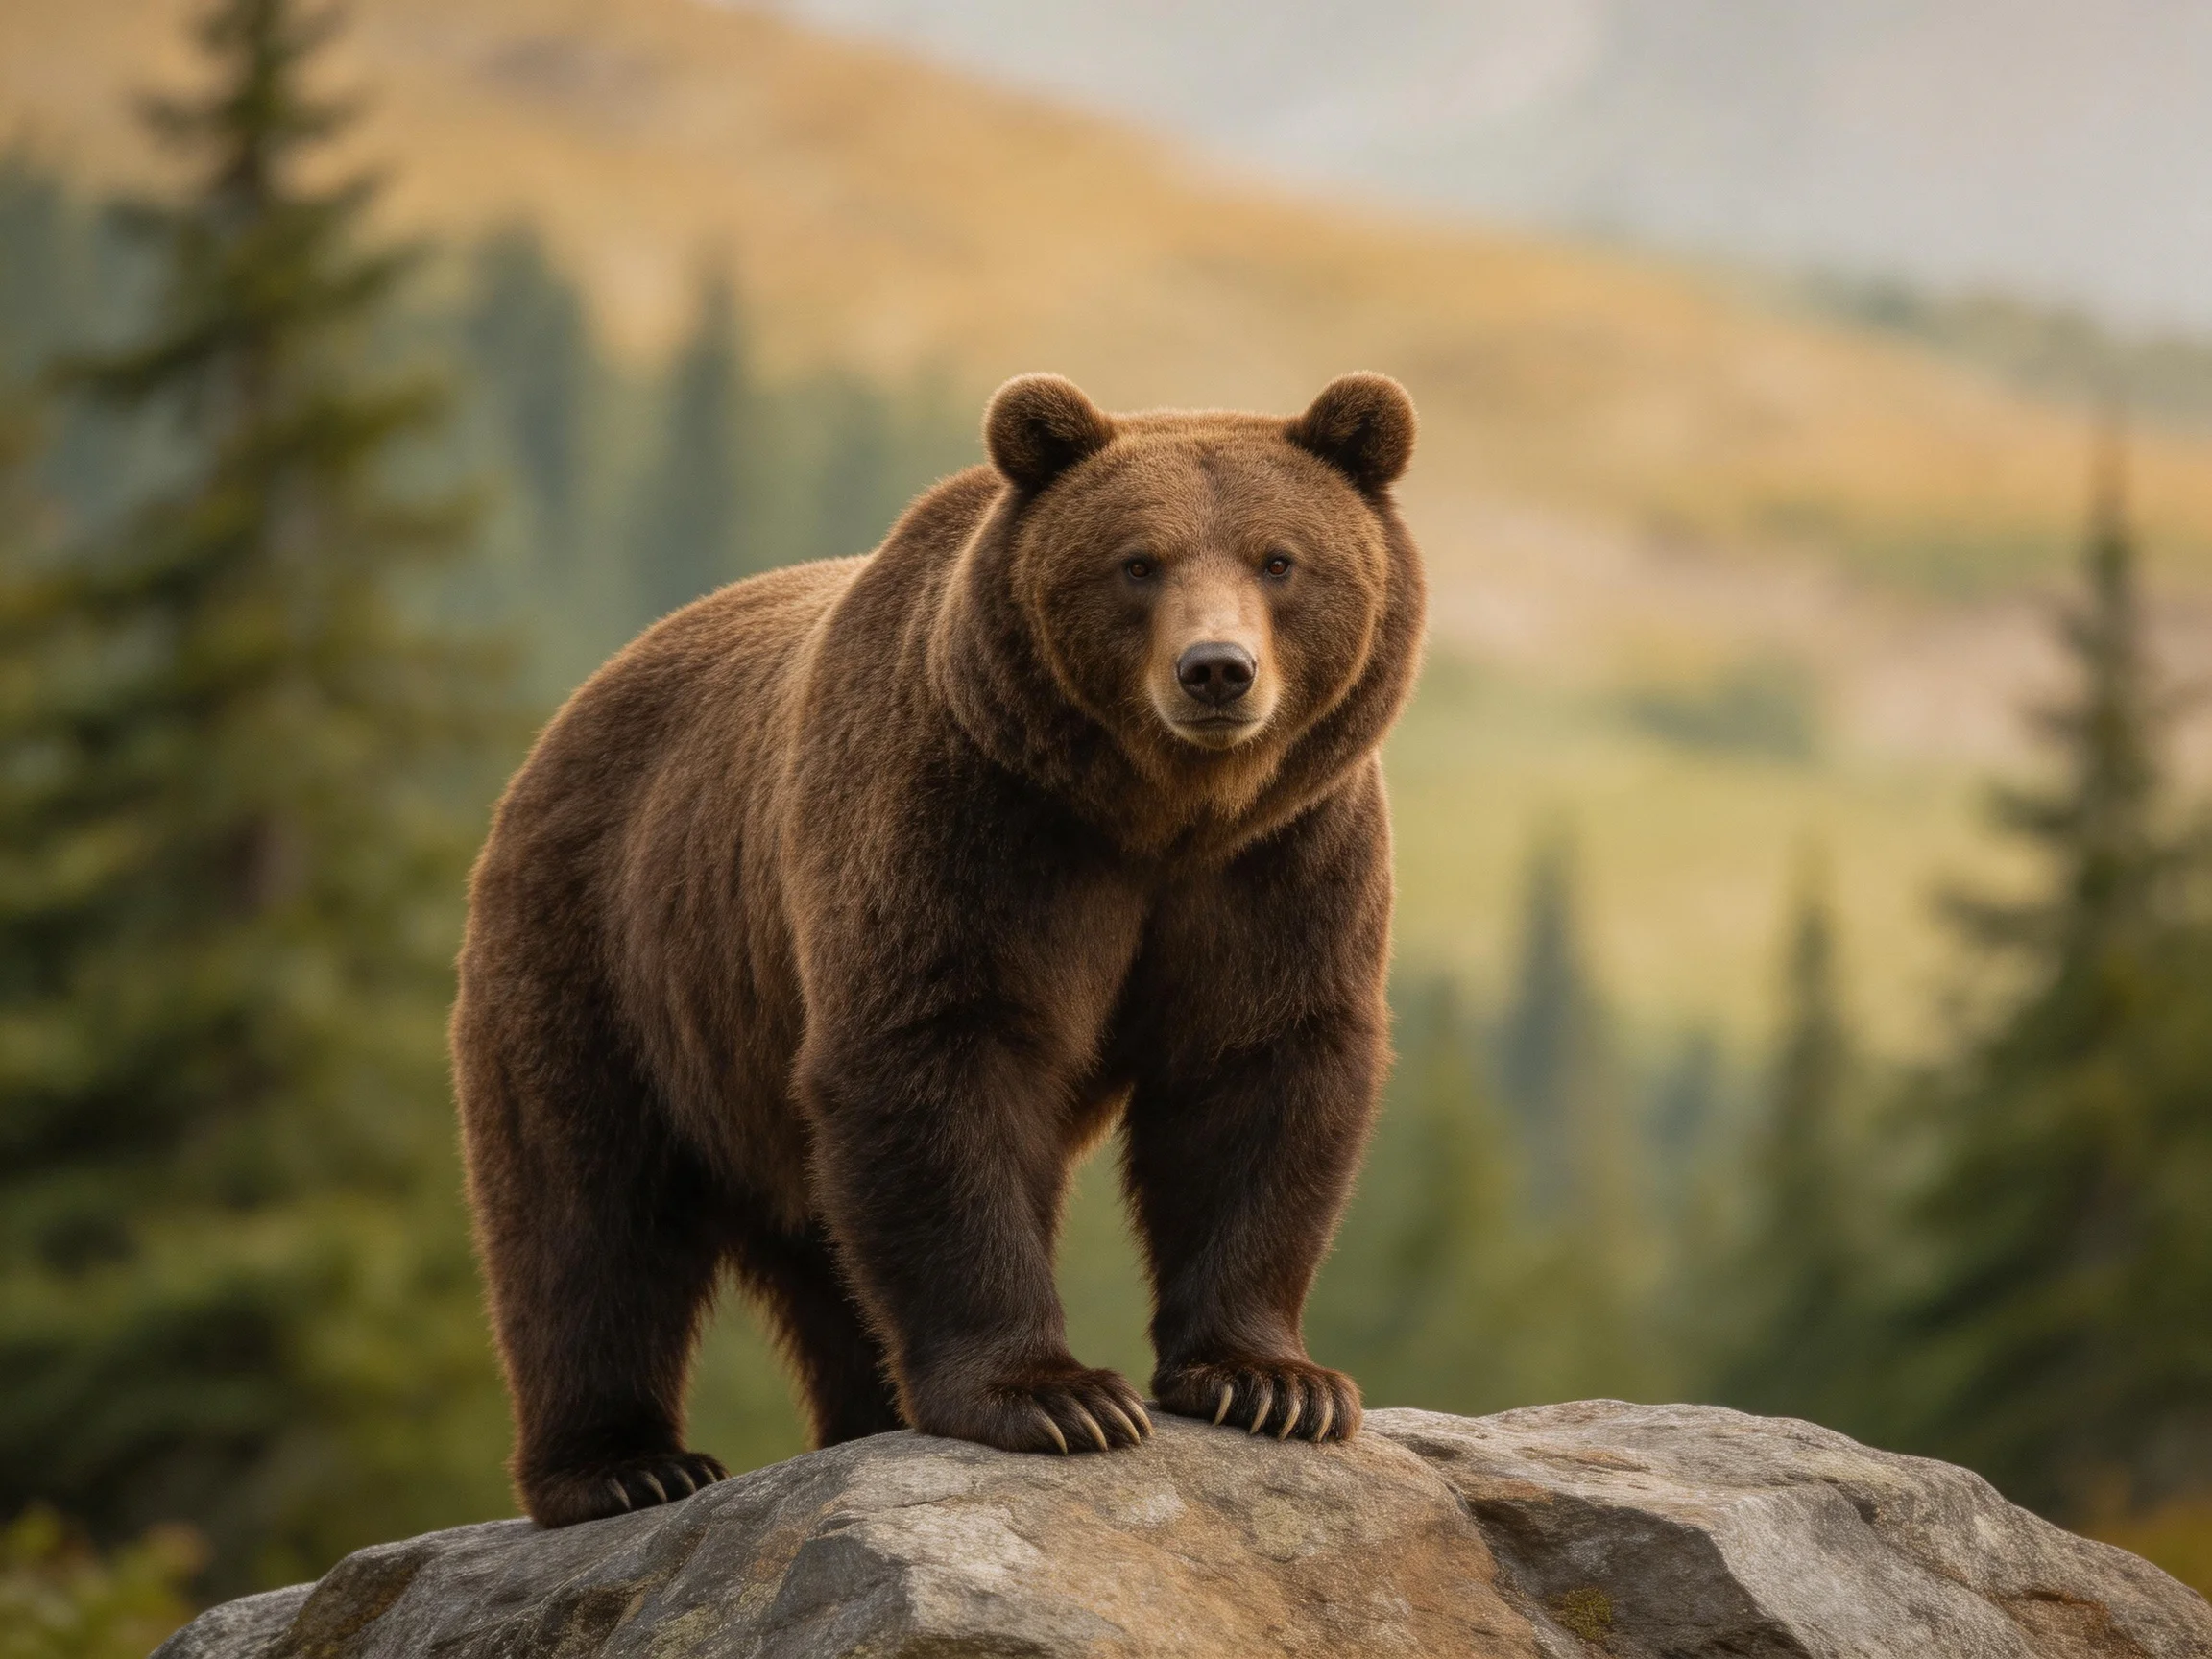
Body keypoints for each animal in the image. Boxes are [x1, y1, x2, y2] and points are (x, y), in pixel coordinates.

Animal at [451, 371, 1426, 1526]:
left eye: (1280, 559)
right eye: (1137, 561)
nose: (1217, 671)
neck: (1159, 816)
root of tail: (568, 713)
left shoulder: (1283, 863)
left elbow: (1259, 1072)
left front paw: (1271, 1384)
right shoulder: (967, 823)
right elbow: (938, 1057)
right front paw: (1056, 1397)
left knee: (819, 1252)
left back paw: (859, 1415)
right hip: (609, 947)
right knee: (584, 1209)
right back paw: (625, 1465)